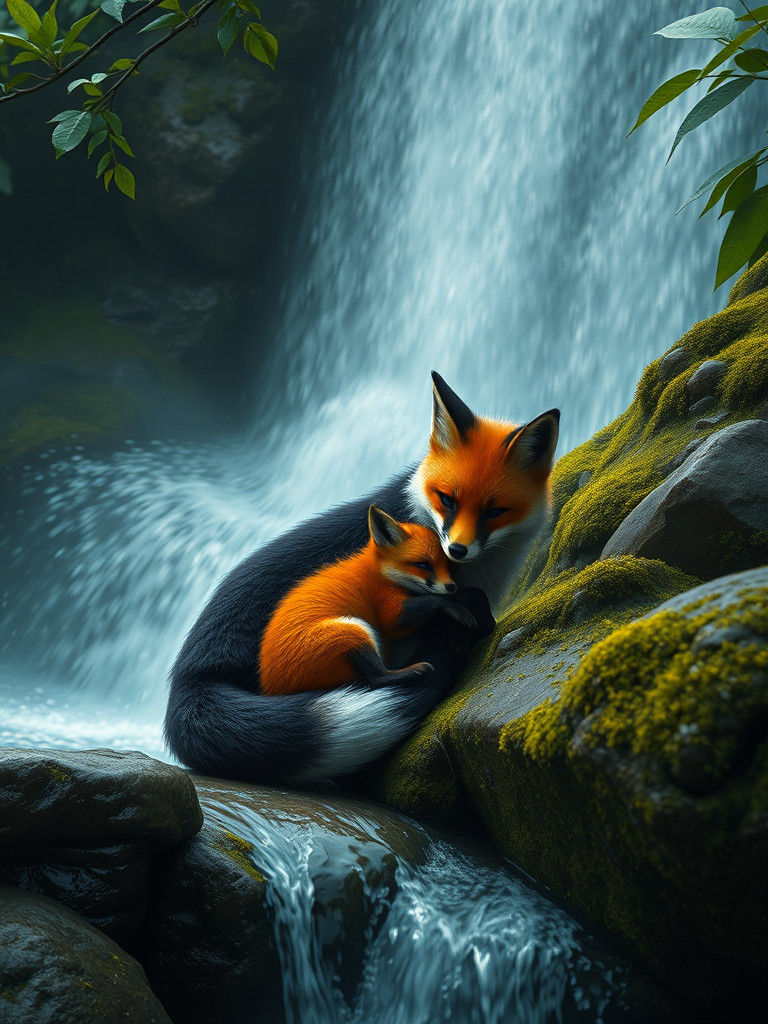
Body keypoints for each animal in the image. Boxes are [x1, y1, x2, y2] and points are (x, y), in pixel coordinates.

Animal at [260, 506, 475, 696]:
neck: (378, 573)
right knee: (376, 678)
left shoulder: (397, 628)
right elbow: (436, 599)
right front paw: (458, 608)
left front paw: (456, 629)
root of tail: (272, 687)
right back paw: (411, 671)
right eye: (422, 564)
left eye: (450, 566)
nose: (451, 586)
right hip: (352, 630)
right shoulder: (390, 615)